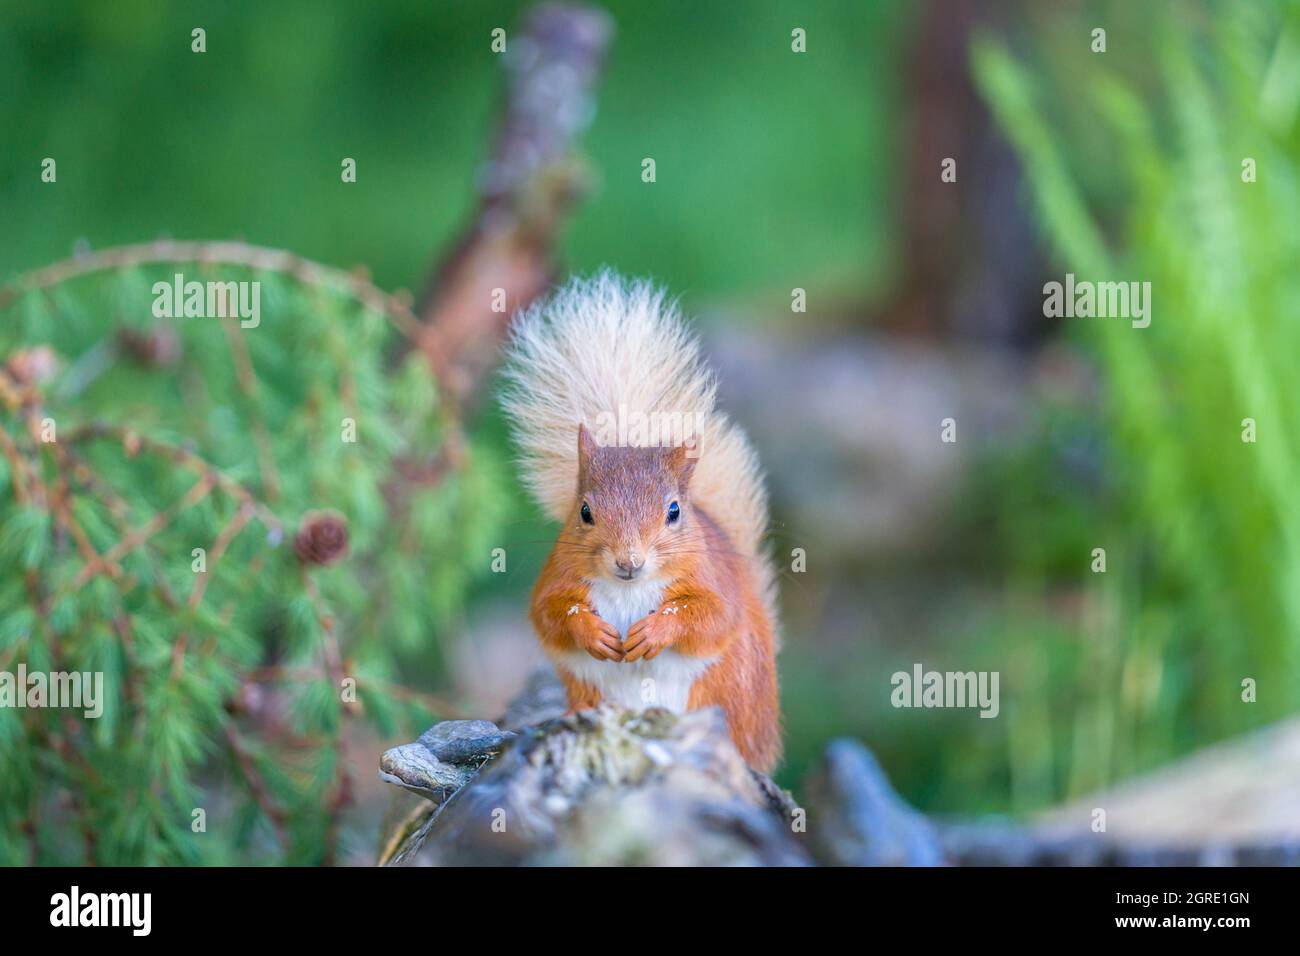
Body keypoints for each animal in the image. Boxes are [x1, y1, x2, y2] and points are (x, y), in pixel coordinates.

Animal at [500, 271, 781, 772]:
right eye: (584, 512)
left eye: (674, 511)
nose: (628, 561)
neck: (630, 588)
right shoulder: (556, 577)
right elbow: (550, 613)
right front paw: (589, 630)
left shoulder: (713, 582)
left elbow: (711, 617)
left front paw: (656, 631)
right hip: (587, 689)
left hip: (726, 692)